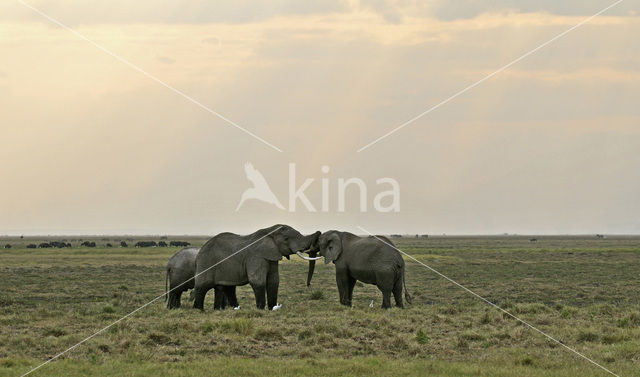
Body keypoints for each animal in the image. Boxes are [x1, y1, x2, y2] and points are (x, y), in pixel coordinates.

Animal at [190, 225, 320, 310]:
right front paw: (261, 310)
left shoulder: (272, 256)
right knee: (202, 286)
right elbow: (257, 281)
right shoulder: (256, 257)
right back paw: (199, 310)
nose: (319, 232)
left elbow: (274, 281)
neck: (269, 232)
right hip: (206, 262)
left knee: (225, 288)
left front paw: (272, 308)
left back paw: (224, 310)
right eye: (286, 239)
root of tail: (199, 252)